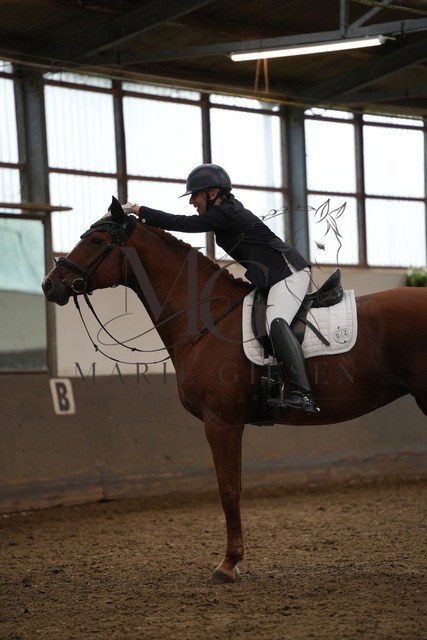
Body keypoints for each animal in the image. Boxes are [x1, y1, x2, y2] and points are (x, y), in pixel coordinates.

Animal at [42, 197, 427, 583]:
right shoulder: (227, 424)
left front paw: (228, 564)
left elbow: (228, 490)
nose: (49, 285)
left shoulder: (221, 423)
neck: (207, 319)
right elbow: (233, 487)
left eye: (96, 241)